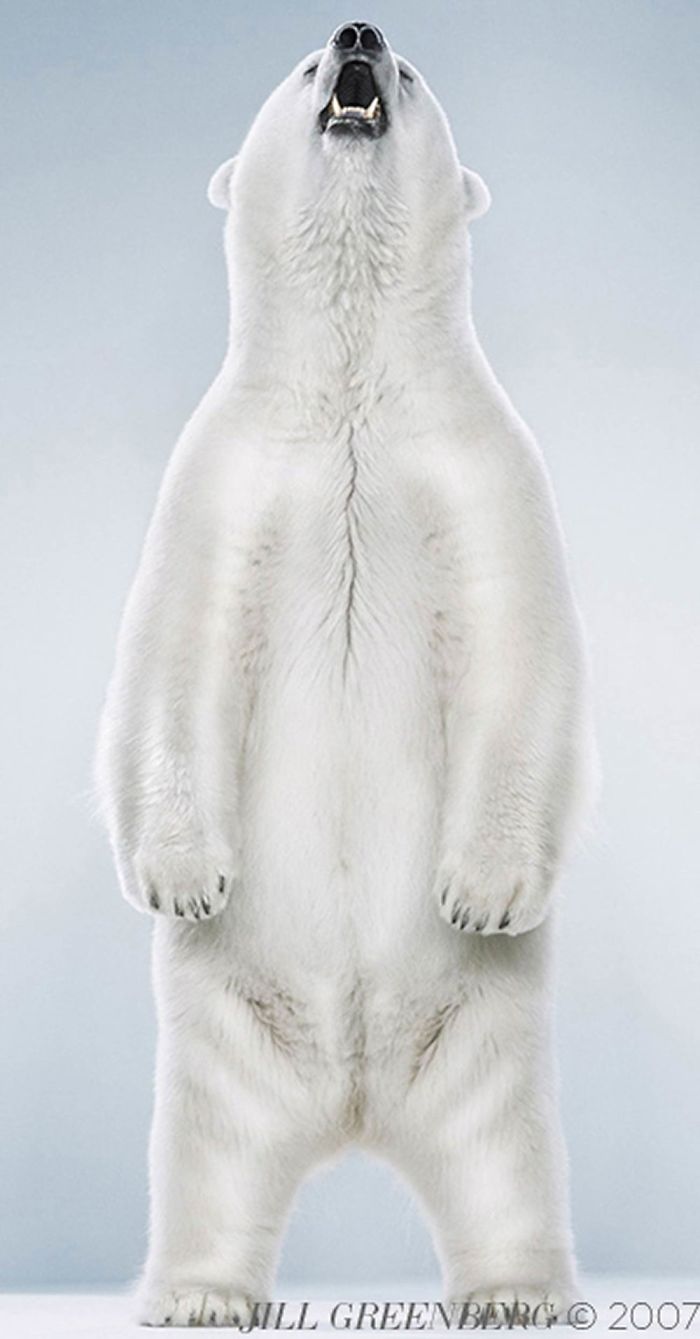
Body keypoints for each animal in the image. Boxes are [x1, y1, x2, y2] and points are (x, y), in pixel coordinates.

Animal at [95, 20, 594, 1328]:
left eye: (410, 73)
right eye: (299, 66)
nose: (360, 33)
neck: (353, 398)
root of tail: (356, 1105)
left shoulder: (483, 472)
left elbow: (520, 650)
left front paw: (482, 890)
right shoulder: (224, 478)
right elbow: (173, 653)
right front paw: (184, 879)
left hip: (483, 1039)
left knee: (504, 1158)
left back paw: (518, 1289)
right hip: (225, 1040)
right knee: (208, 1159)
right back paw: (198, 1292)